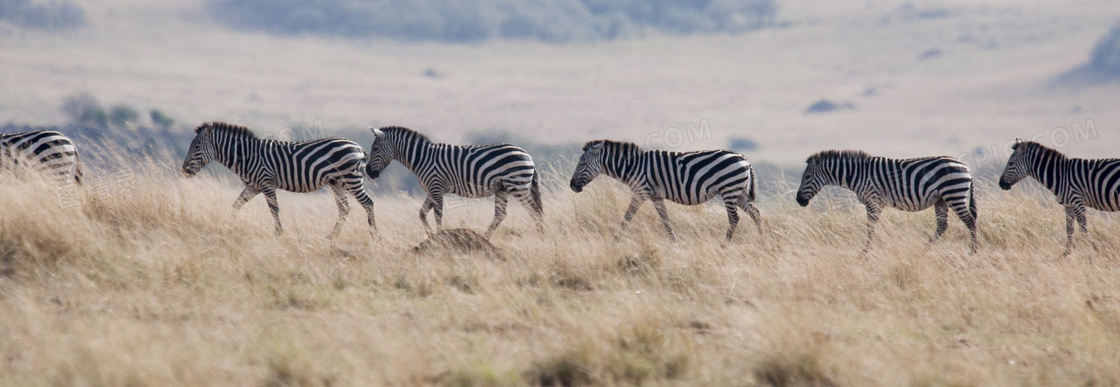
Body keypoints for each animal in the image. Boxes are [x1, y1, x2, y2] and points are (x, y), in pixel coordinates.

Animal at [181, 120, 376, 237]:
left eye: (196, 147)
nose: (184, 169)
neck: (246, 156)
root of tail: (358, 146)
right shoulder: (253, 187)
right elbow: (236, 205)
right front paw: (231, 225)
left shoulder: (267, 183)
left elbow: (274, 209)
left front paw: (278, 234)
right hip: (337, 182)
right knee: (345, 208)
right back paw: (331, 237)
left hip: (350, 178)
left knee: (367, 203)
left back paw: (375, 236)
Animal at [367, 125, 542, 237]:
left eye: (375, 149)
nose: (368, 172)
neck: (422, 158)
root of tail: (528, 155)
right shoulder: (432, 189)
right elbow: (422, 213)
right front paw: (430, 235)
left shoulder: (436, 186)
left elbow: (438, 214)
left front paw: (439, 237)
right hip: (502, 188)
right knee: (501, 214)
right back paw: (484, 238)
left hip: (517, 185)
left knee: (534, 210)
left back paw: (541, 236)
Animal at [568, 139, 761, 241]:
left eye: (582, 164)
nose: (572, 186)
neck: (633, 166)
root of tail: (743, 158)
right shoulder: (656, 196)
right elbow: (666, 220)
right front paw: (674, 242)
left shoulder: (640, 192)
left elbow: (627, 217)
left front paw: (616, 239)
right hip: (739, 193)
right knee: (756, 213)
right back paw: (762, 240)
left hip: (729, 189)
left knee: (734, 218)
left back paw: (724, 245)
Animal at [797, 149, 972, 252]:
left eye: (807, 177)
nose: (798, 200)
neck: (858, 174)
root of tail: (965, 167)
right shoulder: (877, 202)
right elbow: (873, 226)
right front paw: (874, 247)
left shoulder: (873, 199)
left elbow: (870, 226)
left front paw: (866, 252)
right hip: (942, 199)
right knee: (943, 225)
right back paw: (924, 249)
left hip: (953, 193)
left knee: (969, 220)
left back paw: (973, 252)